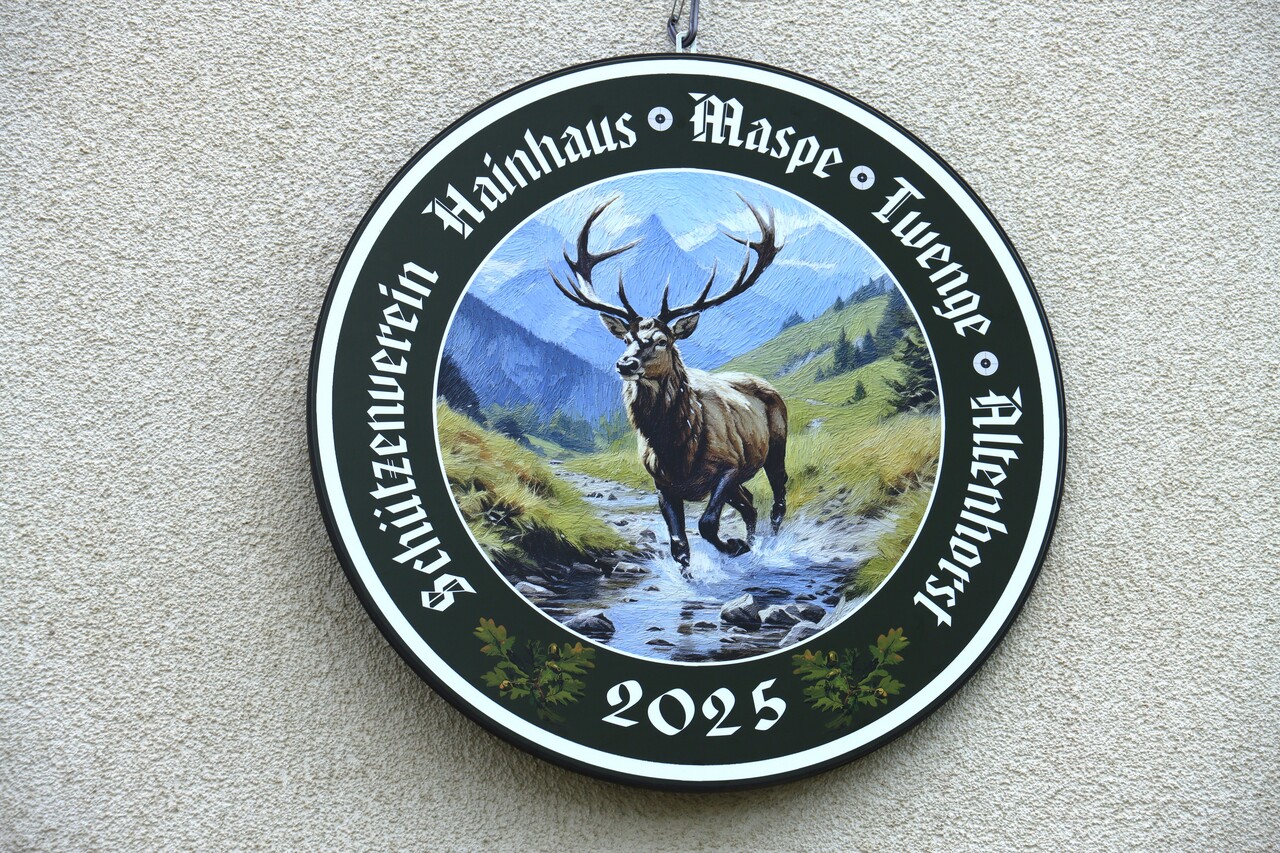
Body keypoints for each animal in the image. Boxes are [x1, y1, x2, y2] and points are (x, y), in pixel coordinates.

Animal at [549, 196, 788, 577]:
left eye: (662, 341)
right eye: (627, 339)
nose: (625, 364)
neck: (678, 450)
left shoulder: (729, 466)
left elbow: (707, 524)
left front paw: (734, 545)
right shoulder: (661, 483)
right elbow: (679, 545)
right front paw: (697, 574)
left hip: (776, 447)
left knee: (778, 498)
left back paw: (767, 545)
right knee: (750, 504)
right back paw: (750, 544)